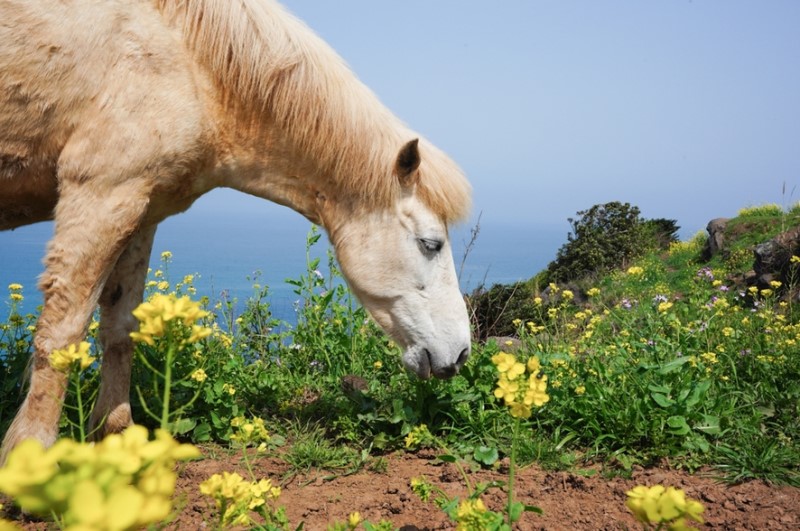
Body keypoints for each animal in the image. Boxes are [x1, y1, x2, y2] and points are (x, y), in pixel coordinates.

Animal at [0, 0, 468, 462]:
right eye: (430, 244)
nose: (461, 353)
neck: (192, 61)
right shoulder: (100, 193)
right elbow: (62, 332)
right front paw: (29, 458)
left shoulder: (139, 209)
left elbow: (120, 328)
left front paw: (116, 437)